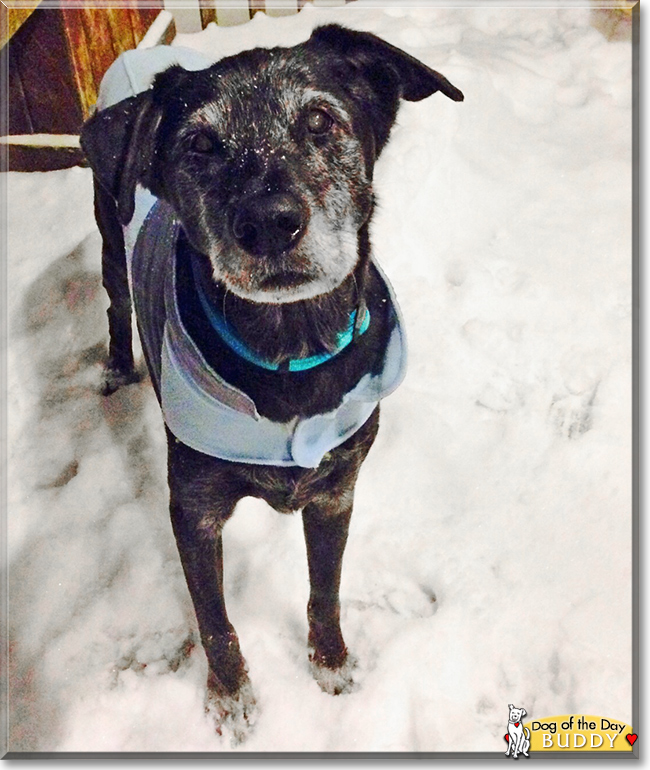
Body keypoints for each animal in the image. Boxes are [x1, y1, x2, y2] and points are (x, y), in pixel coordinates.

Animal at [79, 21, 460, 736]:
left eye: (320, 120)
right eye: (199, 143)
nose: (269, 223)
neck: (290, 346)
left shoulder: (336, 490)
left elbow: (325, 588)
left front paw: (331, 663)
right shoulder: (194, 510)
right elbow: (215, 620)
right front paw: (230, 699)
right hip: (109, 238)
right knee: (116, 305)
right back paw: (117, 365)